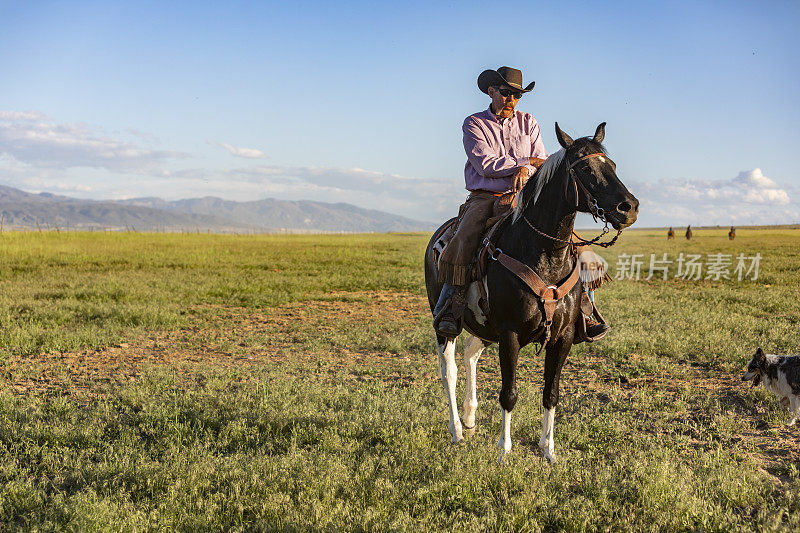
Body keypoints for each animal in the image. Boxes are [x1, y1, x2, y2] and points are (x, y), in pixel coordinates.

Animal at [424, 121, 636, 462]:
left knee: (470, 355)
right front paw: (504, 451)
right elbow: (509, 394)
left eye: (612, 166)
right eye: (586, 168)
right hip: (445, 324)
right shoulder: (510, 335)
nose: (629, 208)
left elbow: (551, 393)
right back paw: (456, 430)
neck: (543, 255)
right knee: (449, 370)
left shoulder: (563, 338)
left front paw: (548, 449)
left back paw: (469, 416)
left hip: (483, 328)